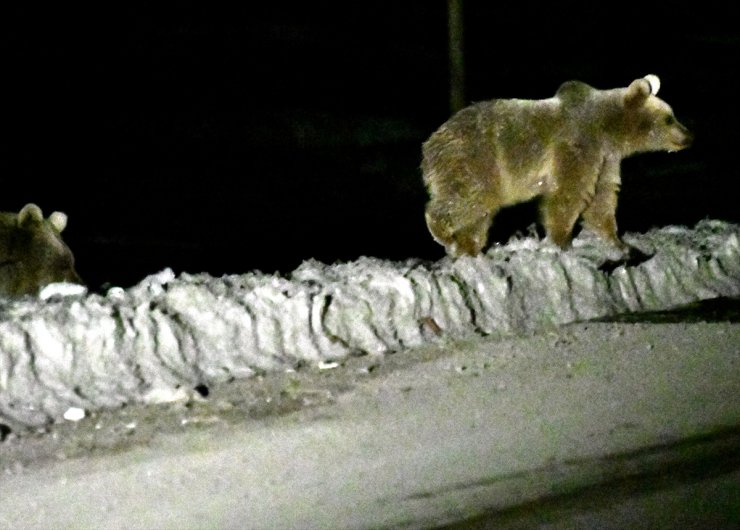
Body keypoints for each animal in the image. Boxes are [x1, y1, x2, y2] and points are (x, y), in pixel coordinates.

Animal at [422, 74, 692, 256]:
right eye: (669, 118)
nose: (689, 136)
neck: (606, 130)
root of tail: (429, 145)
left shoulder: (605, 158)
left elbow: (601, 196)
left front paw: (618, 242)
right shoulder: (577, 145)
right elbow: (569, 192)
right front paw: (561, 240)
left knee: (480, 213)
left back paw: (468, 247)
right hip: (475, 160)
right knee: (468, 197)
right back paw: (443, 233)